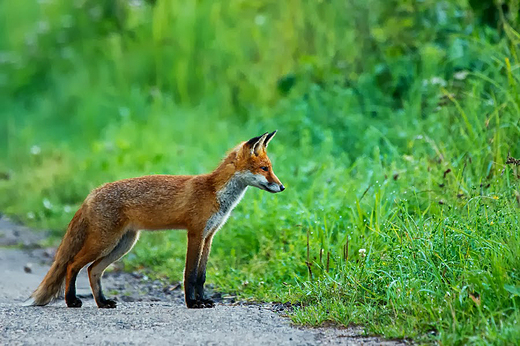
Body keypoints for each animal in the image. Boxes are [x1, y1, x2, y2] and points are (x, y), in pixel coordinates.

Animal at [26, 132, 284, 308]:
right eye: (264, 168)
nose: (282, 187)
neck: (214, 191)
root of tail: (92, 193)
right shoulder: (195, 233)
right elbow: (190, 274)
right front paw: (192, 303)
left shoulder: (209, 235)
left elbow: (201, 276)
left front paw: (203, 300)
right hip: (104, 242)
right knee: (72, 265)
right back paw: (72, 301)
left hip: (124, 244)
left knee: (92, 270)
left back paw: (103, 302)